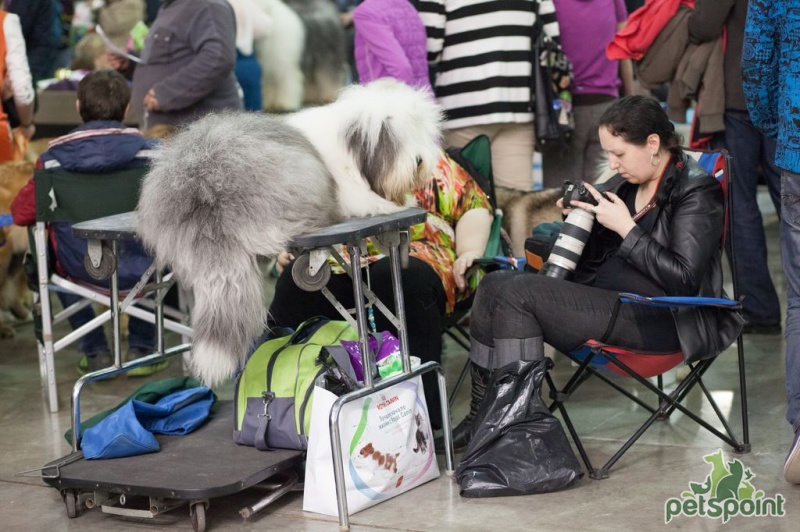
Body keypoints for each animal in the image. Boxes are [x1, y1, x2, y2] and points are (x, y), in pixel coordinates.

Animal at [134, 80, 440, 386]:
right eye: (393, 141)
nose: (420, 161)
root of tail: (201, 188)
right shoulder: (352, 193)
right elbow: (371, 201)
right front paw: (398, 203)